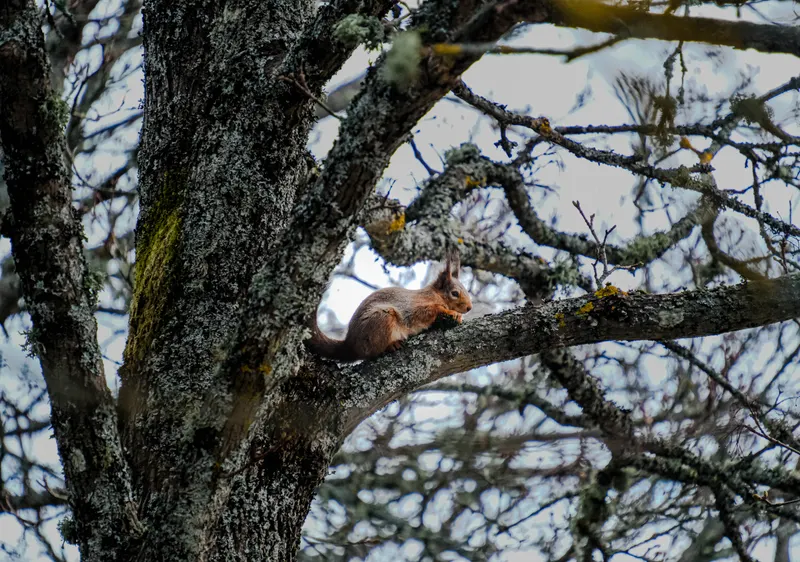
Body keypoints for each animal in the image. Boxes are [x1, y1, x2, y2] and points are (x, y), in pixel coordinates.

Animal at [307, 250, 472, 361]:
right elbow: (429, 311)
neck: (435, 294)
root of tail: (350, 345)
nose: (469, 308)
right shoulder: (415, 306)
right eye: (455, 293)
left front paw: (457, 316)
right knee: (371, 352)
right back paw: (391, 345)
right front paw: (450, 312)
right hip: (382, 318)